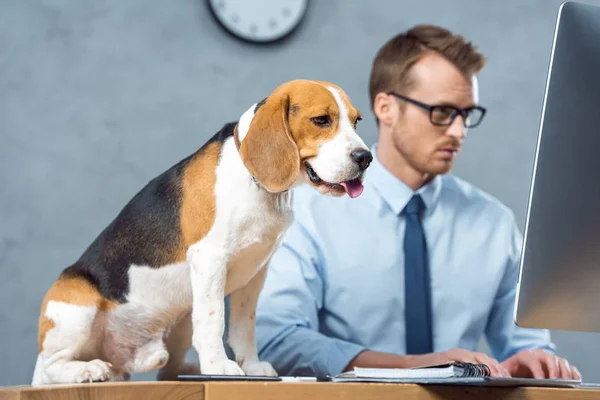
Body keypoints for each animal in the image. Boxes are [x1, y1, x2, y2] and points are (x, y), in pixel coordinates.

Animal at [32, 79, 372, 384]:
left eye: (357, 121)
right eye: (321, 120)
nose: (365, 158)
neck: (256, 183)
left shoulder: (255, 274)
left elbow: (243, 326)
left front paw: (251, 367)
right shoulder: (210, 259)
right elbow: (213, 321)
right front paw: (219, 367)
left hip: (180, 321)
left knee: (165, 370)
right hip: (77, 306)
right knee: (53, 363)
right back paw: (86, 370)